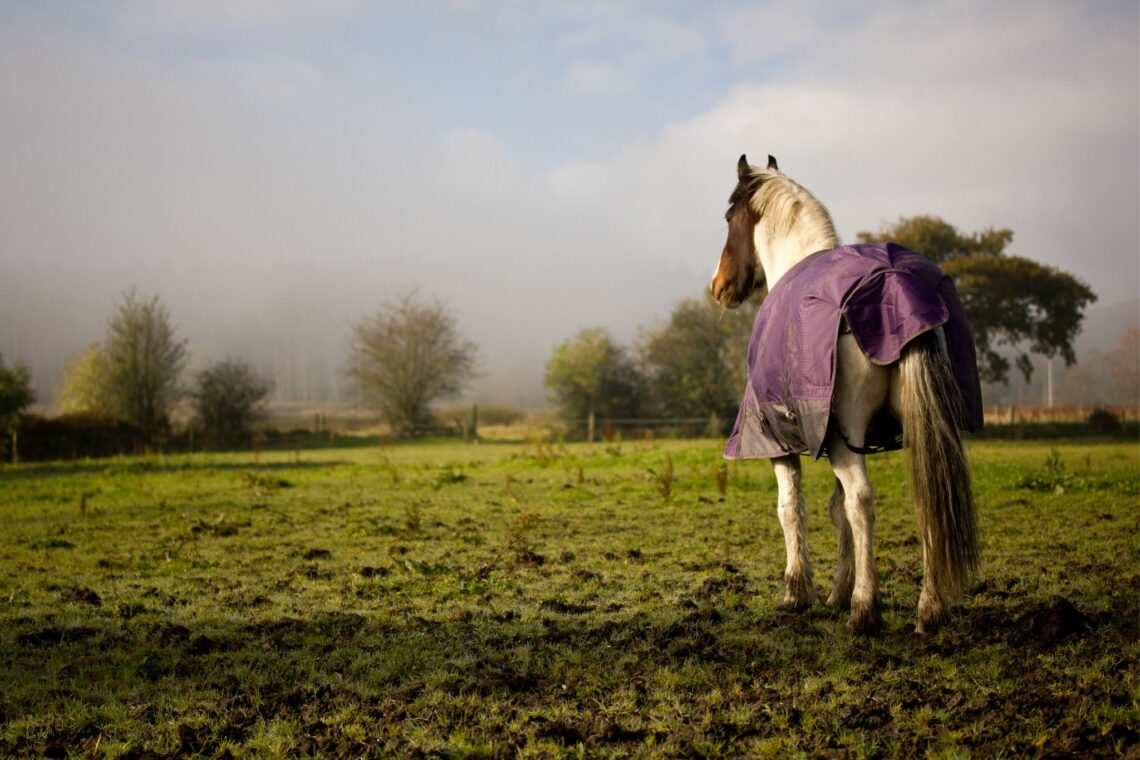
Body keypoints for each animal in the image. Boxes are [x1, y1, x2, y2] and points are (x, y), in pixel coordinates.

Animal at [710, 154, 981, 635]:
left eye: (728, 218)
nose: (718, 286)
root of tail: (899, 288)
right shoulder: (840, 440)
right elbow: (835, 511)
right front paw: (836, 591)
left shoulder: (784, 441)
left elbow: (792, 507)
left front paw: (798, 592)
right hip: (916, 430)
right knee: (928, 499)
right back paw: (928, 608)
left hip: (844, 433)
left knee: (862, 503)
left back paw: (865, 609)